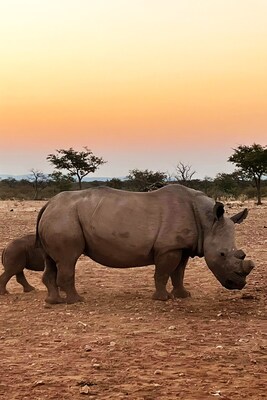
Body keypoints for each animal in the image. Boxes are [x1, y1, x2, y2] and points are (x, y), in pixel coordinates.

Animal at [35, 184, 255, 304]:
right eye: (222, 255)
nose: (238, 285)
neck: (208, 222)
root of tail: (48, 204)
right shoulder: (168, 248)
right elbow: (163, 272)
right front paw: (162, 298)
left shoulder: (182, 247)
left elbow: (179, 273)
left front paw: (183, 295)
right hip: (64, 218)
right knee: (68, 260)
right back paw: (77, 301)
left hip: (58, 217)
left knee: (51, 261)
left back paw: (54, 302)